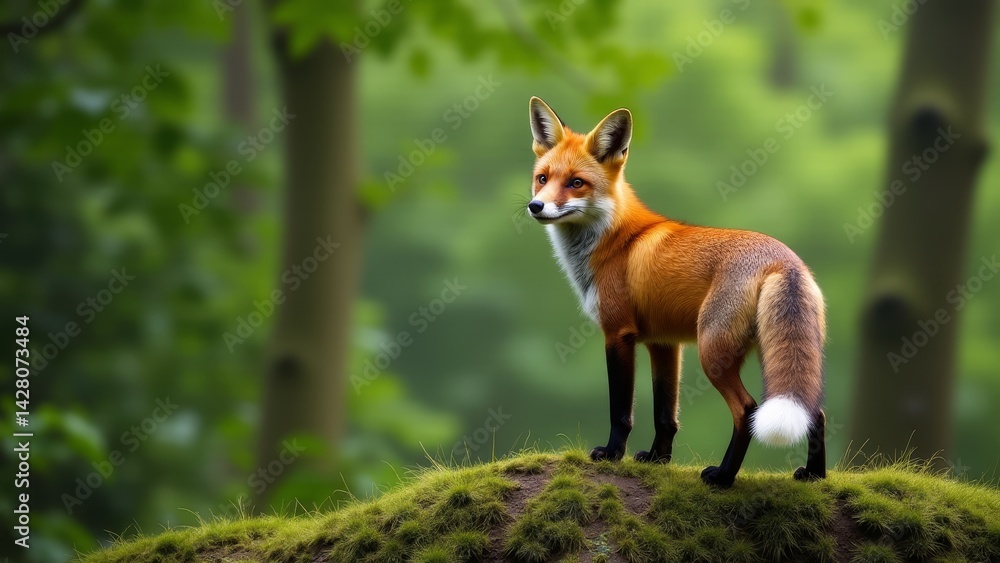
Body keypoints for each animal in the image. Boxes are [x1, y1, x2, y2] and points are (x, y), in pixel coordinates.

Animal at [526, 97, 827, 487]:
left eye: (576, 183)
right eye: (542, 179)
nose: (536, 206)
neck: (612, 242)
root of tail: (782, 258)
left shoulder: (618, 334)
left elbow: (621, 411)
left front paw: (612, 454)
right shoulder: (664, 343)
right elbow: (665, 414)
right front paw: (658, 460)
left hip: (714, 352)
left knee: (747, 410)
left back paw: (724, 477)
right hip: (782, 354)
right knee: (815, 412)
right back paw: (815, 475)